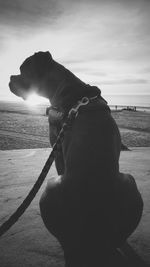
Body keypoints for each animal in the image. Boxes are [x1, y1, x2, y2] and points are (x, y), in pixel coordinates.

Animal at [8, 51, 144, 266]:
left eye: (22, 70)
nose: (9, 78)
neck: (73, 93)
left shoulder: (56, 149)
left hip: (50, 186)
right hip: (129, 182)